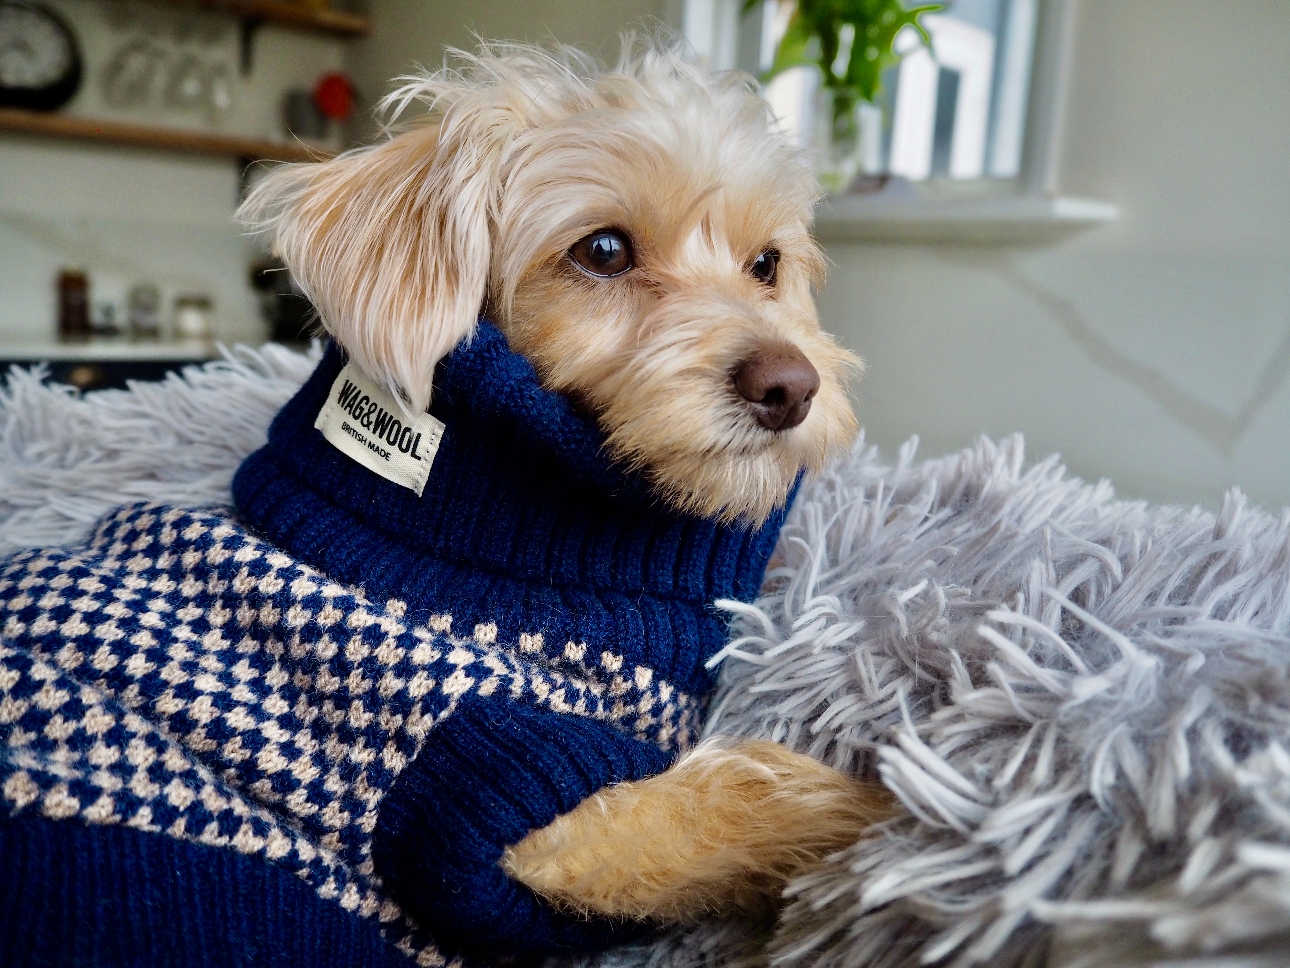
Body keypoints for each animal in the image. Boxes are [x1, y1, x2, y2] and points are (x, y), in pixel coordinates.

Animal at [237, 37, 892, 929]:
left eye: (767, 264)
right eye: (603, 251)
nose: (791, 385)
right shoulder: (520, 787)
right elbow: (745, 791)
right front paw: (915, 821)